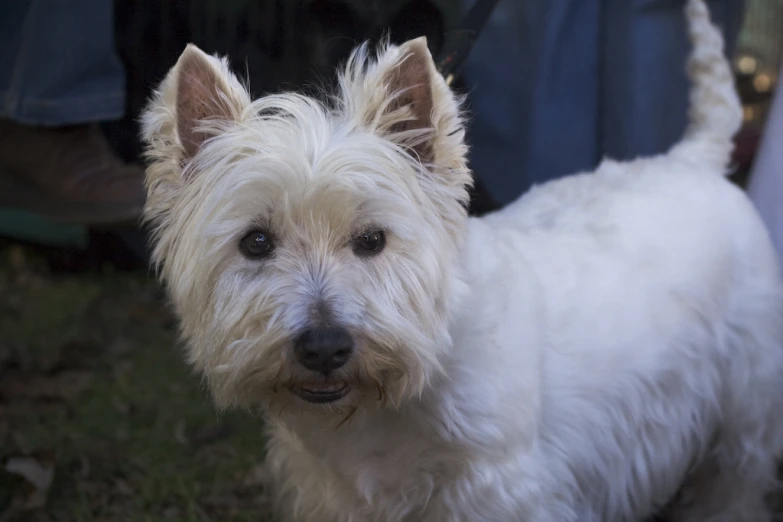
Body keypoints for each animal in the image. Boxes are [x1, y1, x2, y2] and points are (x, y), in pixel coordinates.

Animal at [141, 0, 783, 516]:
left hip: (744, 407)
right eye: (255, 242)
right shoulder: (335, 494)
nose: (324, 347)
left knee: (737, 480)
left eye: (372, 239)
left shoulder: (507, 491)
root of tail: (695, 157)